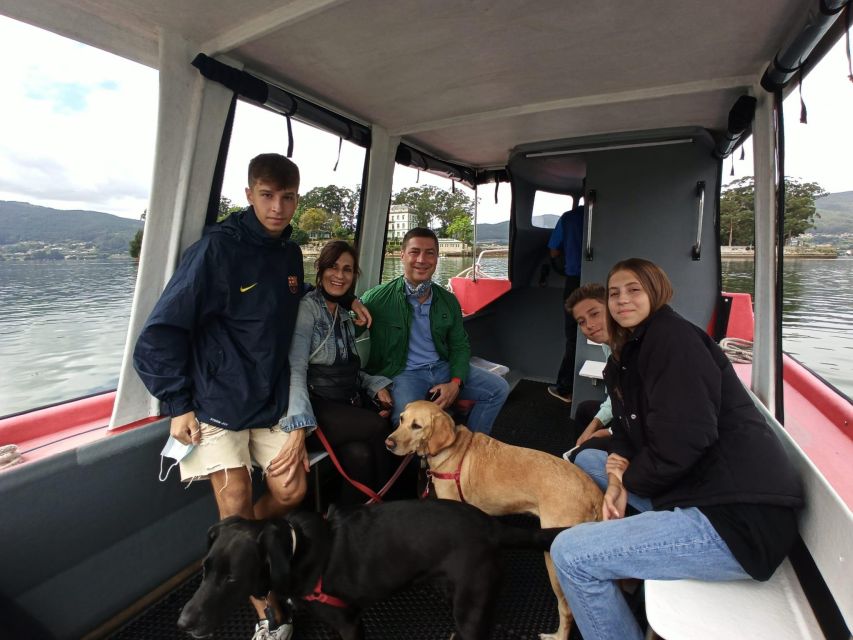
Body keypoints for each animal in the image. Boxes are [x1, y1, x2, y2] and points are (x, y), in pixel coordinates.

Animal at [176, 500, 564, 640]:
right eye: (205, 571)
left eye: (232, 579)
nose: (183, 622)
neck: (295, 548)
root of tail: (492, 527)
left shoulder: (349, 623)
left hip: (471, 605)